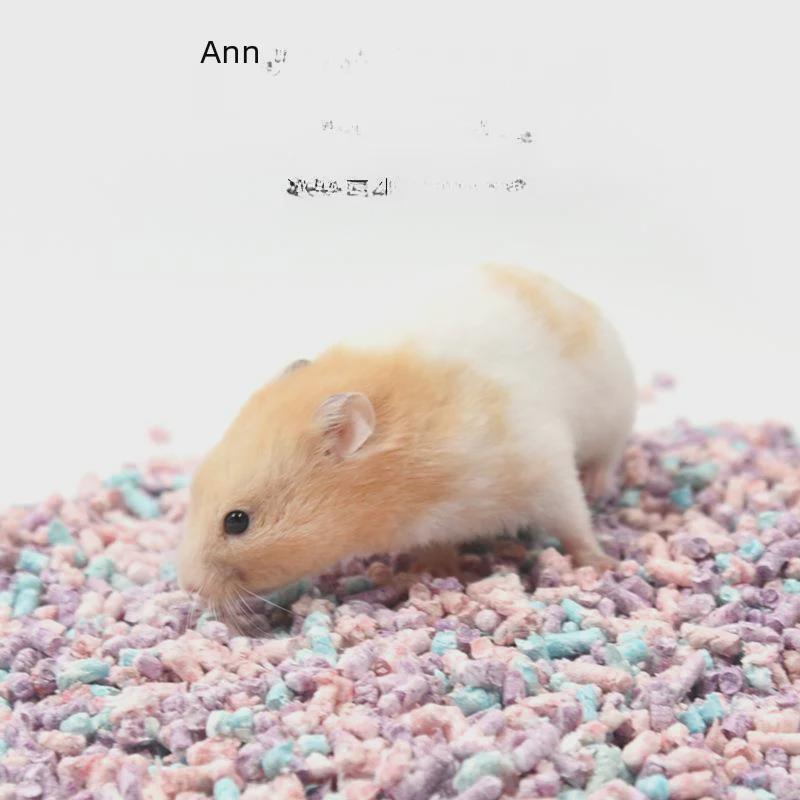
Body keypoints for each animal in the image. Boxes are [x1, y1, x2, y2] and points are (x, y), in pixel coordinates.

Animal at [177, 264, 636, 605]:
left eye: (237, 521)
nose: (187, 586)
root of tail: (570, 291)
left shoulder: (543, 467)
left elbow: (574, 521)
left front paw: (601, 564)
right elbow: (437, 549)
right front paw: (436, 572)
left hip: (615, 410)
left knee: (608, 457)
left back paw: (600, 488)